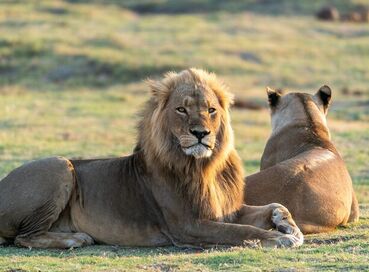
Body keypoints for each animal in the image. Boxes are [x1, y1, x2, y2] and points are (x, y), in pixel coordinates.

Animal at [0, 68, 302, 249]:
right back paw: (76, 238)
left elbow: (275, 204)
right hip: (60, 166)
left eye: (211, 110)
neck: (205, 167)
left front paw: (288, 226)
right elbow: (241, 232)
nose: (200, 133)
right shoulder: (188, 226)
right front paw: (278, 238)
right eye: (181, 109)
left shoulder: (227, 210)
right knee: (24, 237)